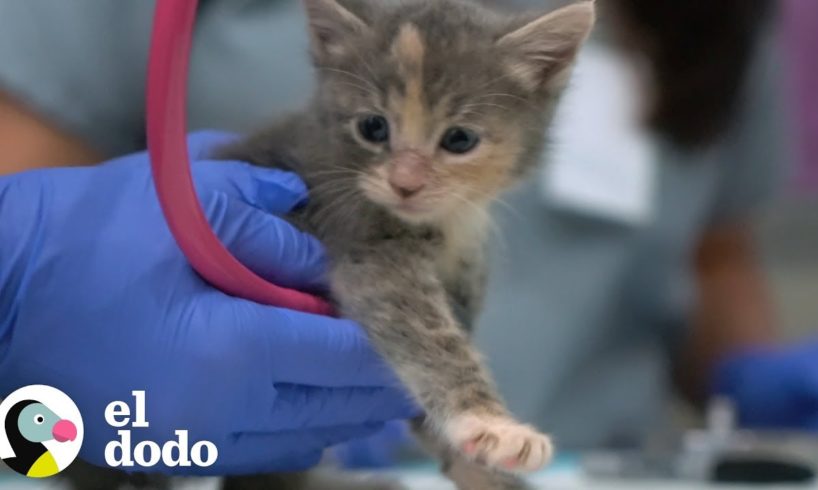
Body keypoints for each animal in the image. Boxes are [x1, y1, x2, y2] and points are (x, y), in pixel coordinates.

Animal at [217, 0, 596, 488]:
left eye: (459, 139)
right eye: (373, 127)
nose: (405, 184)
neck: (446, 223)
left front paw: (484, 467)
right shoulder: (365, 245)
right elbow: (426, 334)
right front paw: (491, 425)